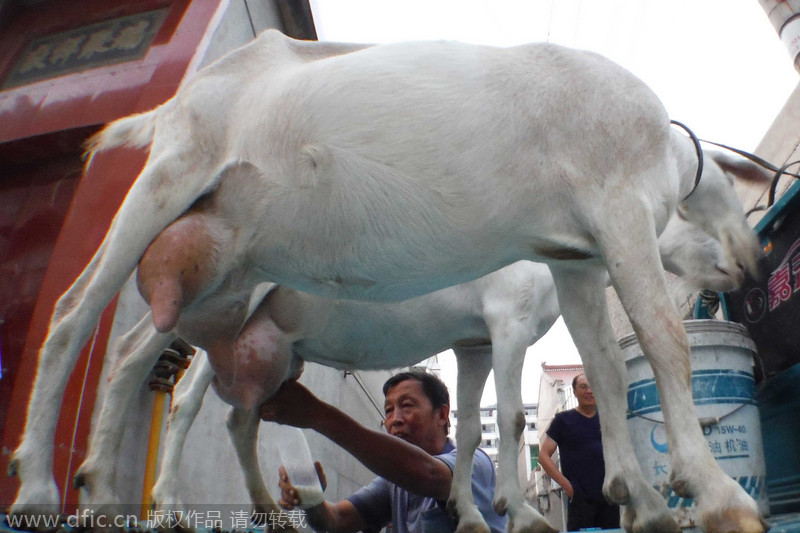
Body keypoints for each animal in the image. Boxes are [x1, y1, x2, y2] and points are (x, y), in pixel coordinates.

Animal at [7, 31, 768, 532]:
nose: (750, 262)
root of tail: (179, 101)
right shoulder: (600, 227)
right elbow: (645, 351)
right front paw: (713, 493)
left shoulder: (565, 273)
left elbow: (594, 378)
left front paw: (636, 500)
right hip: (169, 177)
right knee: (78, 316)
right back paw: (48, 488)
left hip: (224, 282)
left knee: (156, 360)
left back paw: (139, 492)